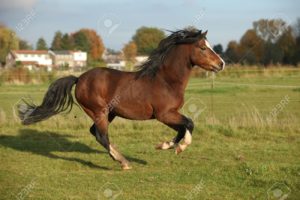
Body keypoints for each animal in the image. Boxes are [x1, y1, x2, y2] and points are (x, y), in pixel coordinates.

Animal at [18, 27, 225, 169]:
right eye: (202, 48)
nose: (221, 64)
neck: (166, 80)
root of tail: (79, 78)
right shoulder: (164, 114)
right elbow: (189, 124)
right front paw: (176, 147)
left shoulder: (171, 114)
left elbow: (183, 128)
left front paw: (164, 145)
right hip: (99, 111)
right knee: (101, 135)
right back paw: (123, 162)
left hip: (109, 113)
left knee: (95, 132)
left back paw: (119, 157)